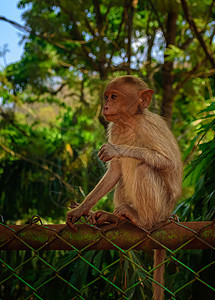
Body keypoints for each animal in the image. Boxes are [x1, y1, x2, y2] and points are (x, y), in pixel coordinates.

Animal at [66, 75, 182, 300]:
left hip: (162, 208)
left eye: (114, 97)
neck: (129, 122)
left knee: (145, 168)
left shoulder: (147, 125)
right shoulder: (114, 127)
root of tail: (167, 215)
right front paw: (80, 209)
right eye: (106, 96)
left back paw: (144, 221)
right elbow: (114, 173)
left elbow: (168, 162)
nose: (105, 106)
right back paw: (115, 218)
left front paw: (115, 149)